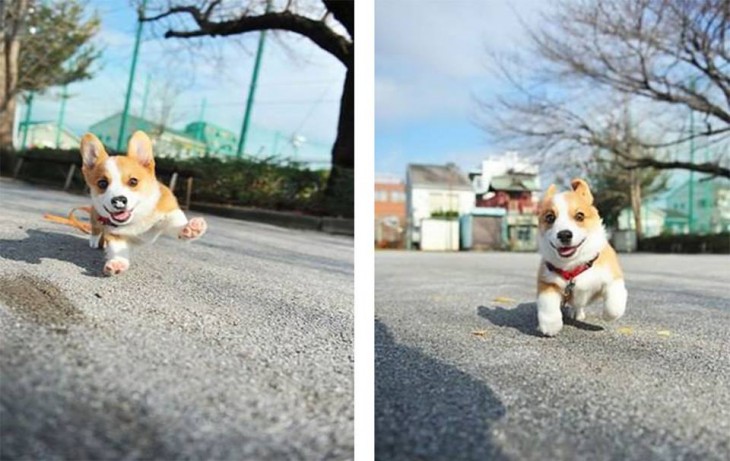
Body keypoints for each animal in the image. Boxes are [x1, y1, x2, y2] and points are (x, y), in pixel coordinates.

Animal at [80, 131, 206, 274]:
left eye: (133, 181)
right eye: (102, 183)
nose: (119, 200)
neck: (137, 218)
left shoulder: (168, 210)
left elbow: (176, 223)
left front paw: (190, 229)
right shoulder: (114, 233)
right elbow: (117, 249)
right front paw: (117, 262)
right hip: (96, 217)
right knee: (95, 228)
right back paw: (94, 241)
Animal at [536, 179, 624, 334]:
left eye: (580, 216)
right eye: (550, 217)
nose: (564, 234)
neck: (573, 265)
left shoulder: (613, 277)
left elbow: (615, 302)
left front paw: (608, 315)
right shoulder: (547, 281)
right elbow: (548, 303)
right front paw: (550, 325)